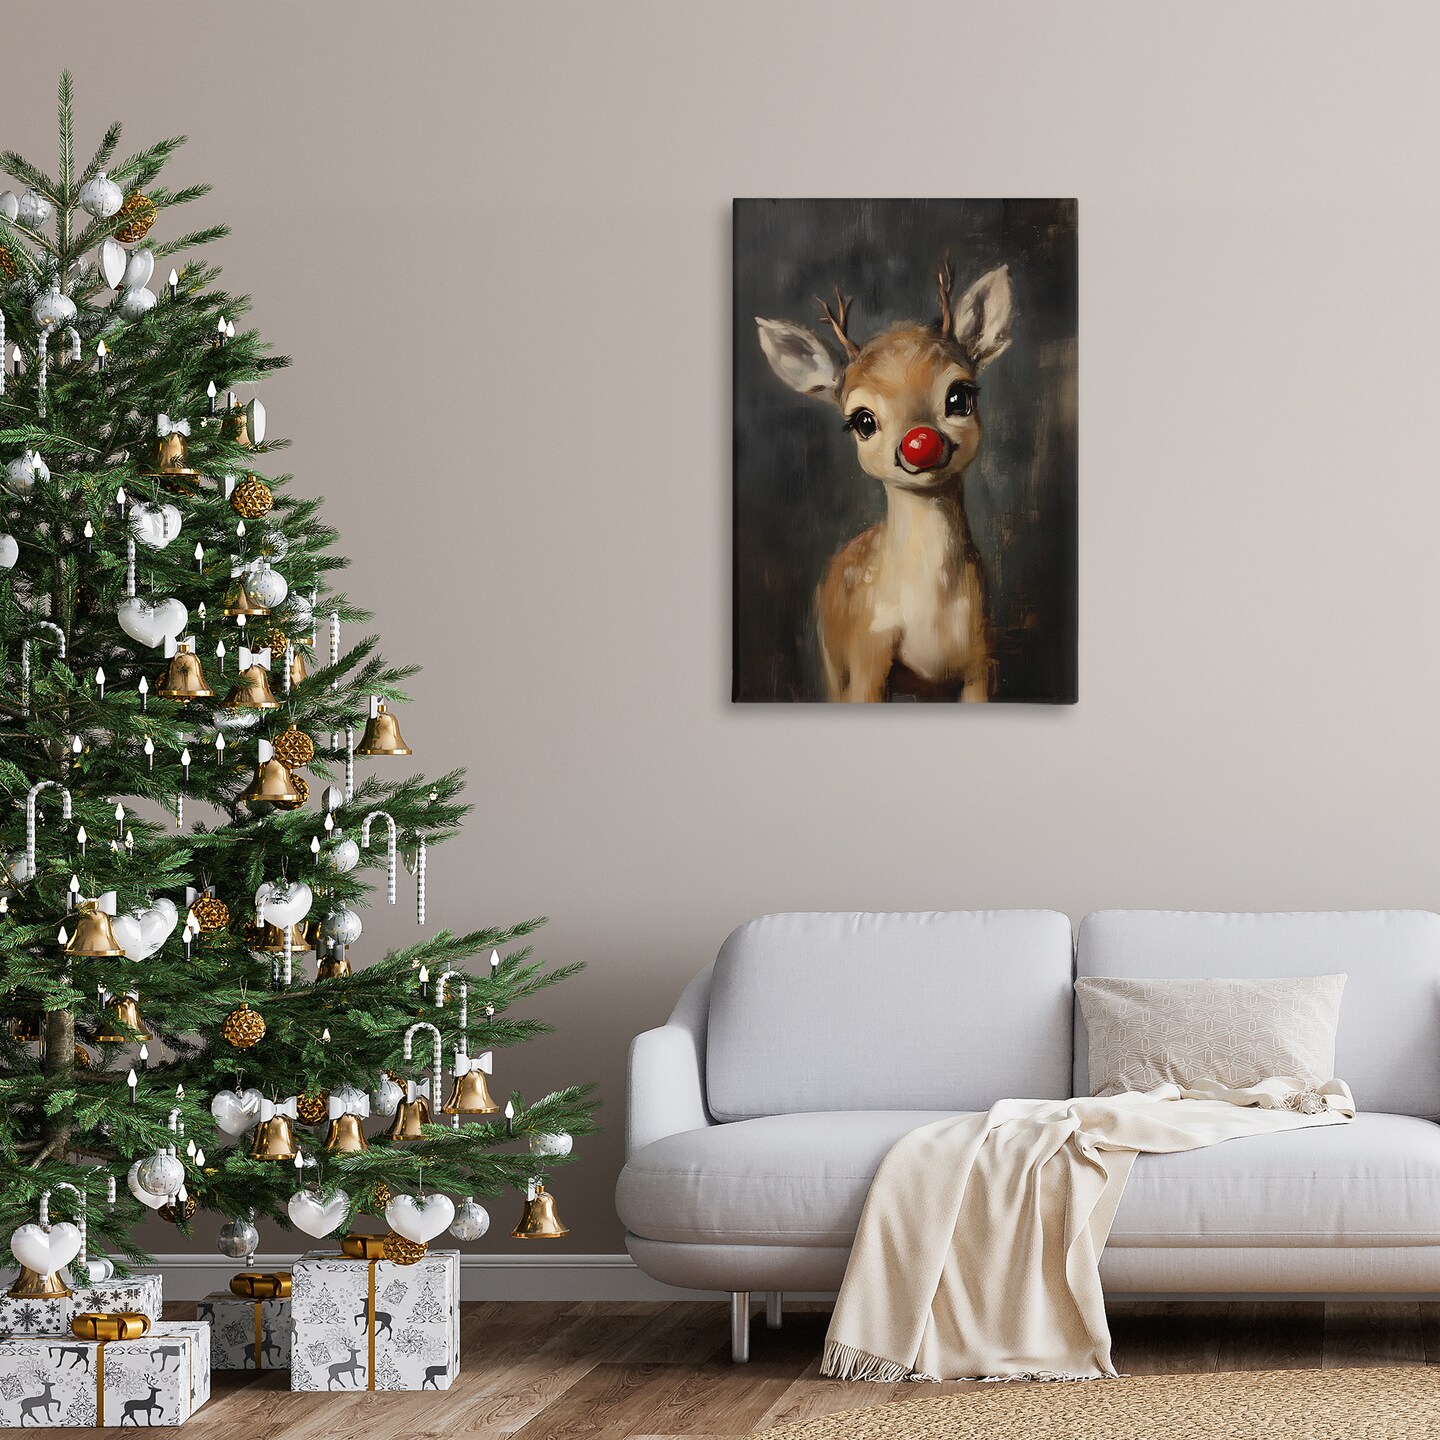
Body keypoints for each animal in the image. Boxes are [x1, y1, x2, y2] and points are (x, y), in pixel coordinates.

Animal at [756, 261, 1014, 702]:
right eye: (863, 420)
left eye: (959, 396)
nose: (919, 443)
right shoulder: (868, 653)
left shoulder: (981, 657)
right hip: (832, 661)